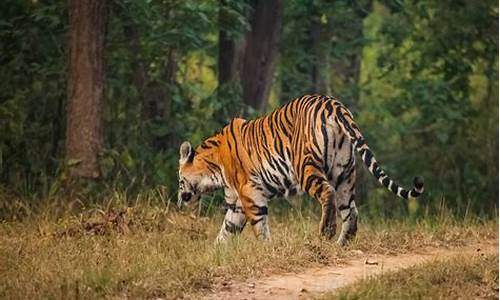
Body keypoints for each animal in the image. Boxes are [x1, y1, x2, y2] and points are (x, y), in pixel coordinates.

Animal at [178, 95, 424, 245]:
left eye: (180, 180)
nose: (180, 202)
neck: (214, 168)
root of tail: (335, 105)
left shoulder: (250, 193)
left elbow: (259, 225)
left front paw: (266, 248)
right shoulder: (237, 203)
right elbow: (227, 229)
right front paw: (214, 253)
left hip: (305, 167)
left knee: (327, 193)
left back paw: (327, 232)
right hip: (344, 172)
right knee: (351, 211)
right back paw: (342, 244)